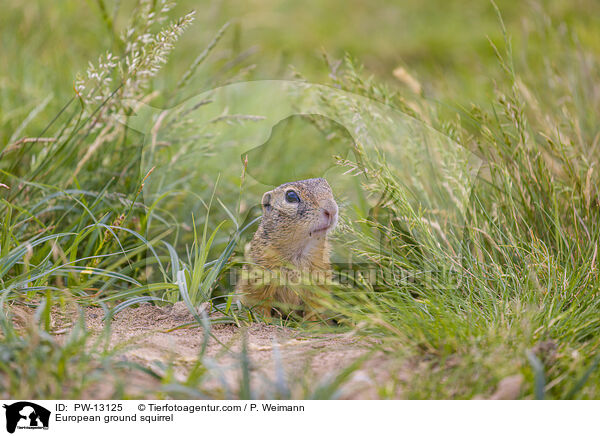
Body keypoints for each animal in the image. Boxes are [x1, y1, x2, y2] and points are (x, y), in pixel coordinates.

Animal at [237, 178, 338, 320]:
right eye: (291, 196)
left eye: (328, 187)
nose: (332, 209)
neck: (300, 250)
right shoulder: (260, 273)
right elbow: (258, 302)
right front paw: (264, 321)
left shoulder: (320, 276)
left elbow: (315, 307)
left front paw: (313, 324)